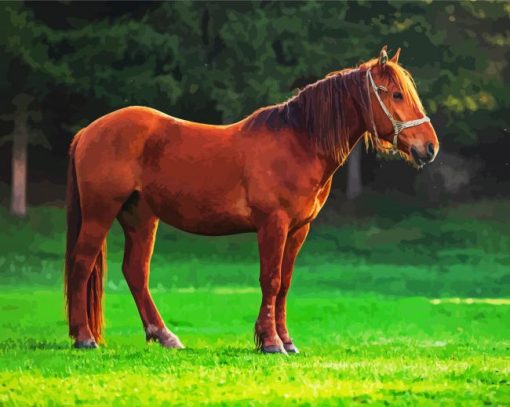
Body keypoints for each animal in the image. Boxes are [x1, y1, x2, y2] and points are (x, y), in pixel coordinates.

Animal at [63, 47, 438, 354]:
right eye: (396, 94)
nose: (430, 147)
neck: (299, 142)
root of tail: (87, 131)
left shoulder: (298, 230)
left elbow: (284, 282)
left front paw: (287, 341)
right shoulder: (273, 224)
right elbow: (269, 280)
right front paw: (270, 343)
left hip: (141, 217)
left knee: (135, 272)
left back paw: (165, 336)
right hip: (100, 212)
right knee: (82, 264)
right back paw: (84, 338)